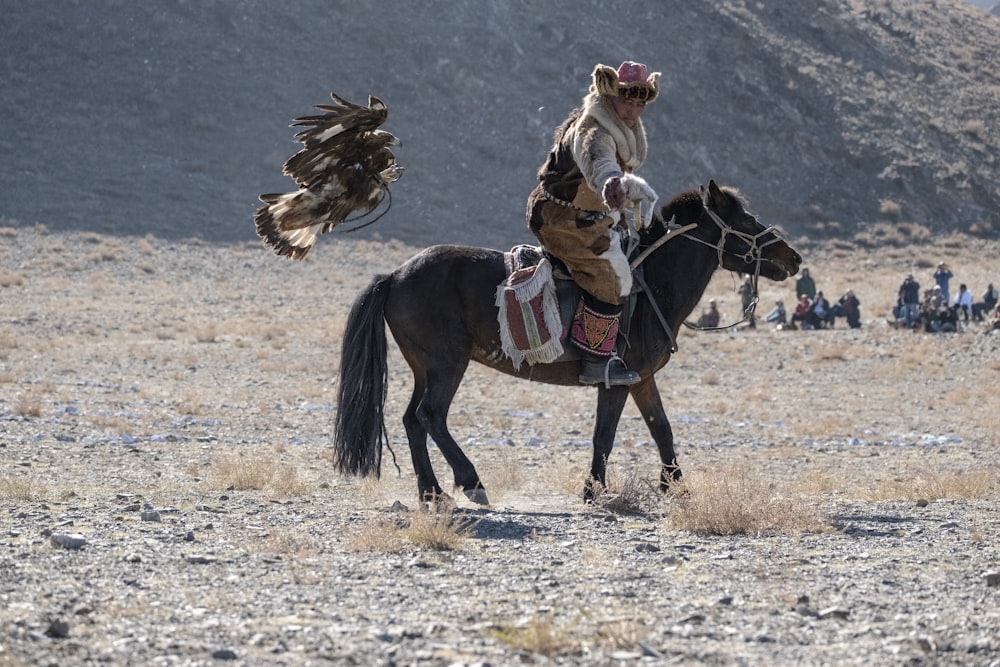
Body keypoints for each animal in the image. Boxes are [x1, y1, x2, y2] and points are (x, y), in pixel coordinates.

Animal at [336, 180, 804, 504]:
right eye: (745, 220)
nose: (793, 258)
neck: (650, 282)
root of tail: (395, 275)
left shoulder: (641, 379)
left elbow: (662, 430)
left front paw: (676, 487)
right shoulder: (615, 380)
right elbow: (605, 436)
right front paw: (593, 489)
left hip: (423, 367)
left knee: (412, 420)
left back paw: (431, 493)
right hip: (447, 363)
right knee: (431, 416)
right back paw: (471, 482)